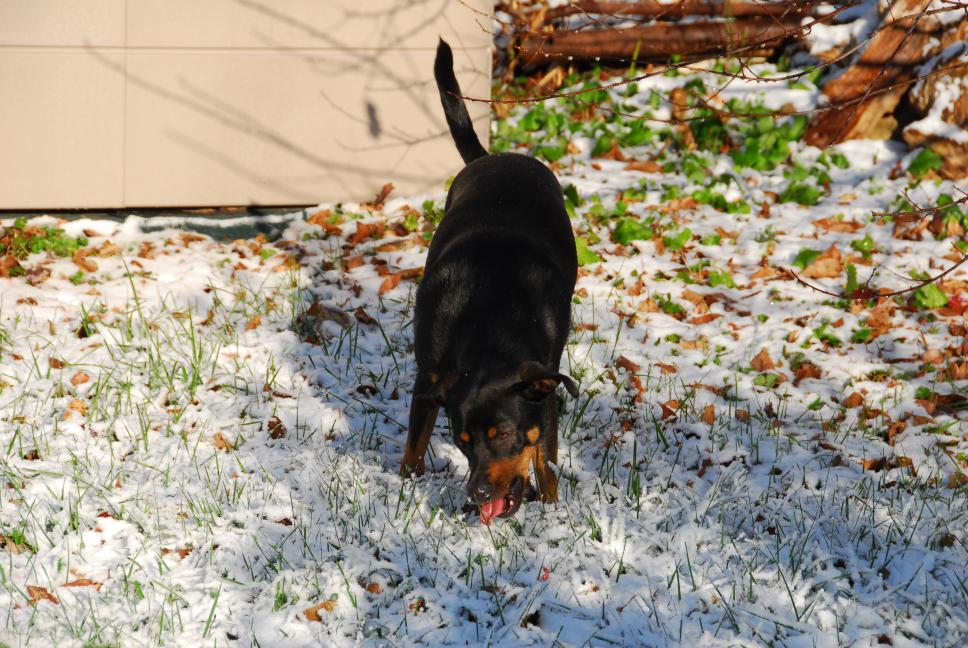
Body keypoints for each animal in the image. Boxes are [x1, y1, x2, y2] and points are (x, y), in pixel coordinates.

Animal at [399, 39, 579, 525]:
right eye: (462, 442)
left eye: (503, 434)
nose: (477, 493)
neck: (490, 322)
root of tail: (493, 156)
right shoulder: (429, 381)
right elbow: (413, 447)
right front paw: (405, 489)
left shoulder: (545, 388)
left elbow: (546, 459)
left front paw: (551, 509)